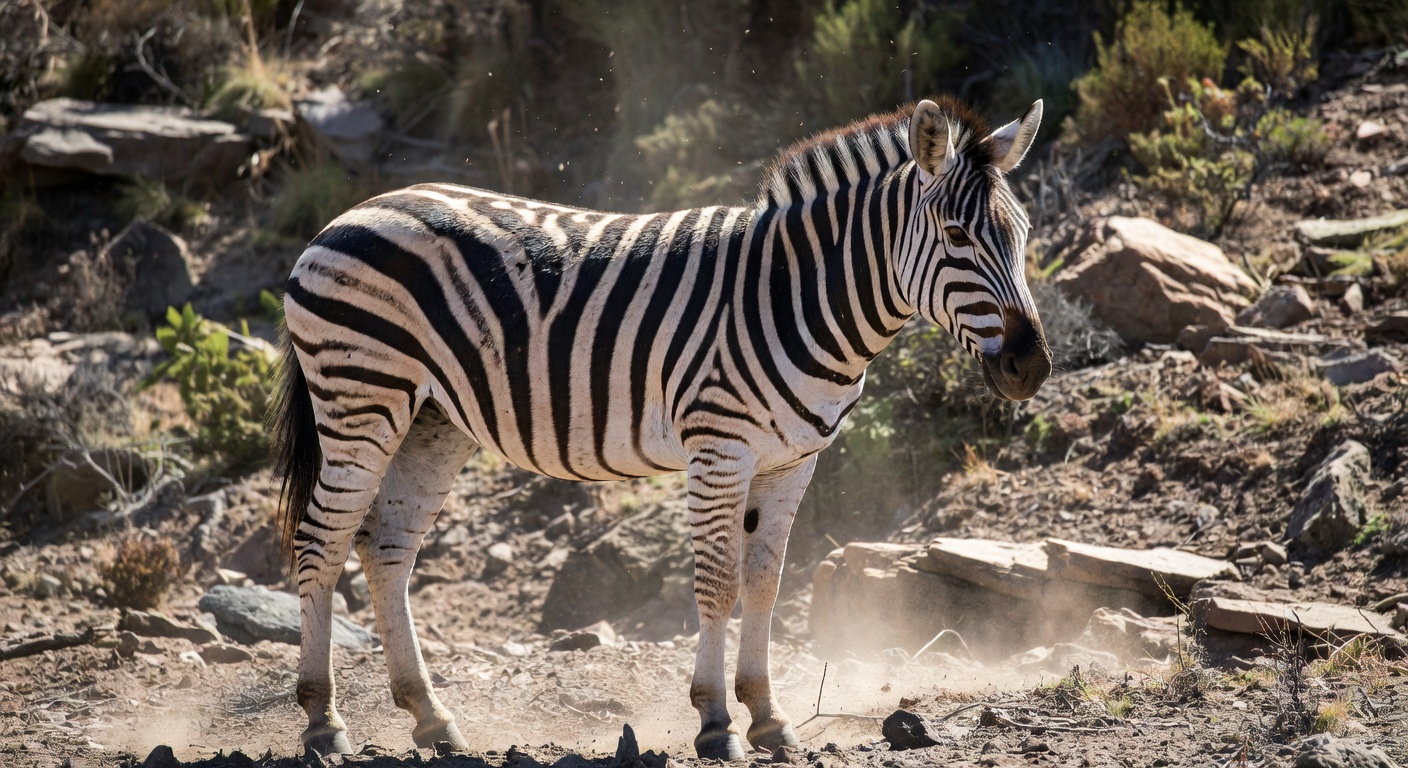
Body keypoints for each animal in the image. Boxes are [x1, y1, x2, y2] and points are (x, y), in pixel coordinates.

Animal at [270, 95, 1050, 760]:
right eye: (956, 236)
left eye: (1022, 236)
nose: (1031, 366)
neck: (803, 297)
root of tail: (354, 211)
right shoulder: (721, 446)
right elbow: (718, 584)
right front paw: (715, 723)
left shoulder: (792, 460)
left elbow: (766, 583)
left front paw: (768, 717)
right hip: (361, 398)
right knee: (320, 543)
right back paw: (323, 723)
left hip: (435, 421)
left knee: (385, 548)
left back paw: (432, 720)